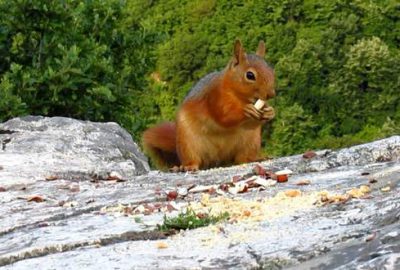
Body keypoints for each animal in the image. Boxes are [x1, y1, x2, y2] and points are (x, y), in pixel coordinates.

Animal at [142, 40, 276, 171]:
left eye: (271, 70)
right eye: (250, 75)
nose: (271, 94)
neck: (240, 97)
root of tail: (219, 160)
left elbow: (252, 124)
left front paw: (270, 112)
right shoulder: (214, 97)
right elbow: (223, 116)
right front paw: (246, 110)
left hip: (251, 142)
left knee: (242, 159)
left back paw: (256, 158)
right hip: (188, 143)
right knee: (193, 159)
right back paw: (187, 167)